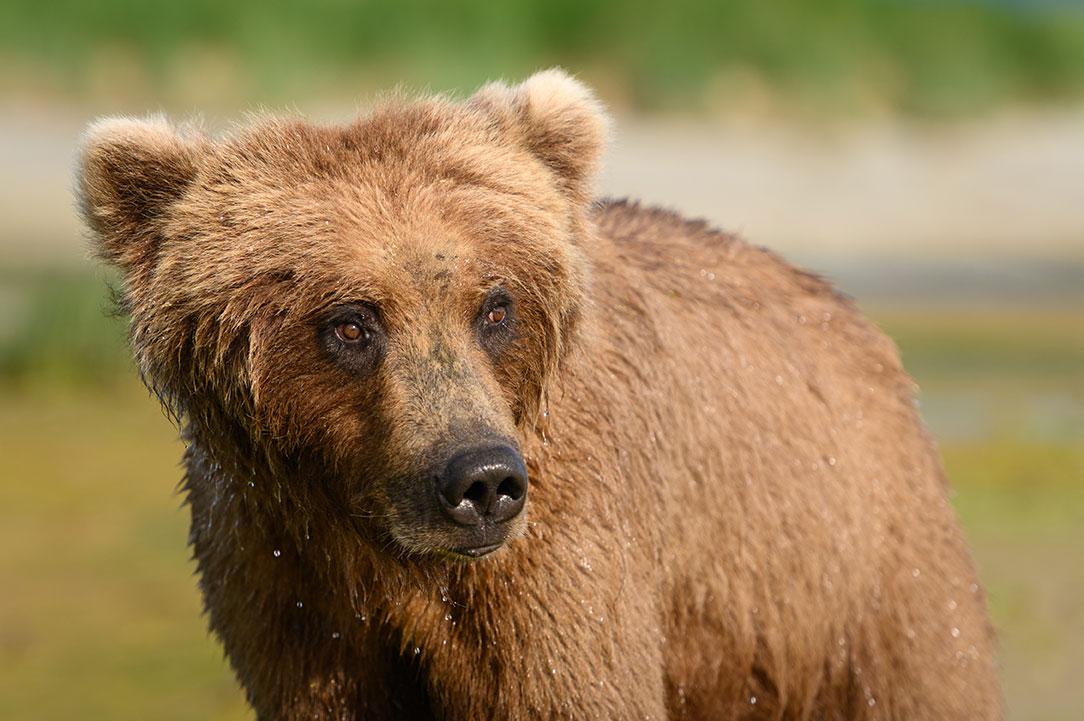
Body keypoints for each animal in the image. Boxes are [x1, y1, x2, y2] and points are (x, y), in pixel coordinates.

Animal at [80, 71, 1001, 719]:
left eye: (495, 305)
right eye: (350, 322)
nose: (480, 479)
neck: (383, 554)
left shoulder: (557, 563)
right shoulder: (282, 577)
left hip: (851, 573)